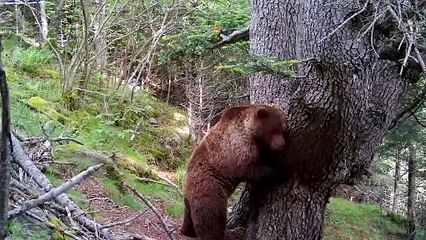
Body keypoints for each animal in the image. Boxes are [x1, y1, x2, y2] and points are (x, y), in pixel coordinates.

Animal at [178, 104, 288, 239]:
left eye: (283, 129)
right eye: (274, 130)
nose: (281, 145)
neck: (250, 132)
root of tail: (185, 186)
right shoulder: (238, 147)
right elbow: (251, 170)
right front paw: (283, 171)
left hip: (189, 200)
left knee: (189, 215)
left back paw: (187, 230)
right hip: (209, 188)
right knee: (212, 217)